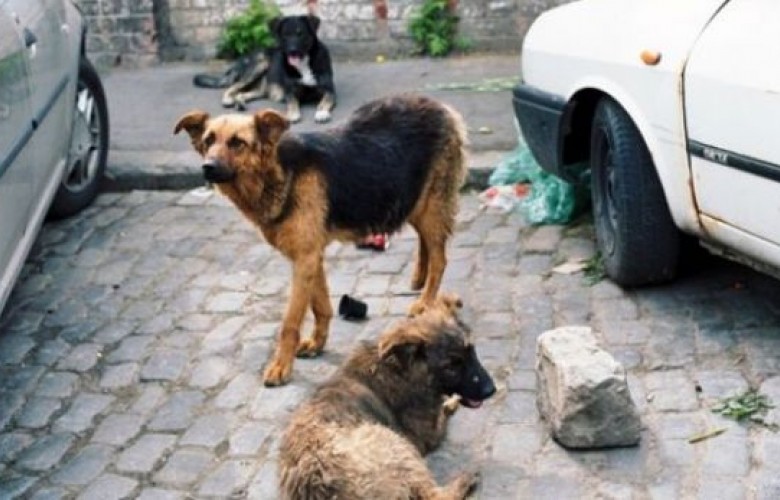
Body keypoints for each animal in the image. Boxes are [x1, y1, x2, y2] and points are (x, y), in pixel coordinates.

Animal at [175, 94, 470, 386]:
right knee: (426, 242)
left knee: (440, 258)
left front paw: (281, 366)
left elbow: (290, 322)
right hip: (412, 203)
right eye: (209, 140)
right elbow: (321, 306)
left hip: (430, 205)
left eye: (237, 143)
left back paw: (425, 301)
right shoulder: (310, 256)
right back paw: (419, 278)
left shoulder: (305, 258)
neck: (279, 172)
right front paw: (318, 343)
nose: (207, 168)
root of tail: (442, 107)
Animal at [192, 13, 336, 123]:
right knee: (233, 87)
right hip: (260, 65)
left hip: (260, 89)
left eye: (300, 33)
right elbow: (292, 102)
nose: (292, 50)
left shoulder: (329, 89)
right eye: (285, 35)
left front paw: (322, 112)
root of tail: (244, 57)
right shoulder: (290, 91)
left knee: (241, 93)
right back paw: (227, 99)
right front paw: (292, 114)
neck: (303, 63)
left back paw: (240, 102)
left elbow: (326, 99)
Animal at [278, 294, 494, 498]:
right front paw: (450, 402)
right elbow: (442, 413)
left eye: (472, 351)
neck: (399, 367)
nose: (491, 390)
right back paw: (465, 480)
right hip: (396, 443)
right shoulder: (429, 434)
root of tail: (320, 485)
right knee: (432, 495)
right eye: (451, 367)